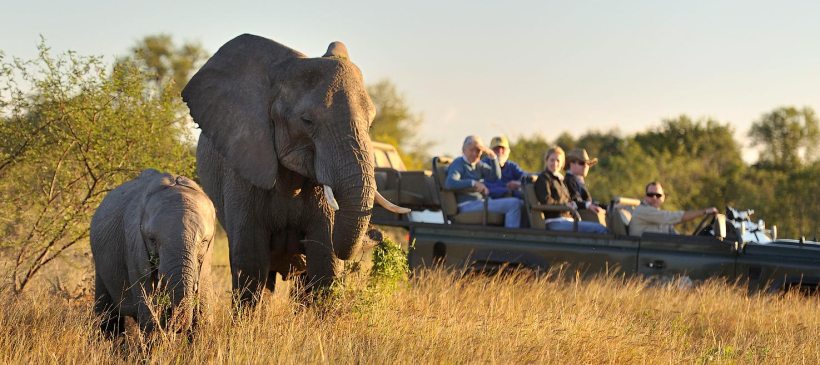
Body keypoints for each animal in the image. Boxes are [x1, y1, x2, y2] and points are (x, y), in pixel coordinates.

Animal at [91, 169, 216, 334]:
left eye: (204, 242)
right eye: (152, 240)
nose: (176, 327)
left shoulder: (206, 261)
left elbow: (203, 315)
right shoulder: (134, 245)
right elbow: (147, 303)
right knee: (107, 317)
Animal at [183, 33, 406, 304]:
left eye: (371, 124)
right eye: (307, 120)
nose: (377, 234)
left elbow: (325, 261)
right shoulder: (243, 165)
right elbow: (250, 260)